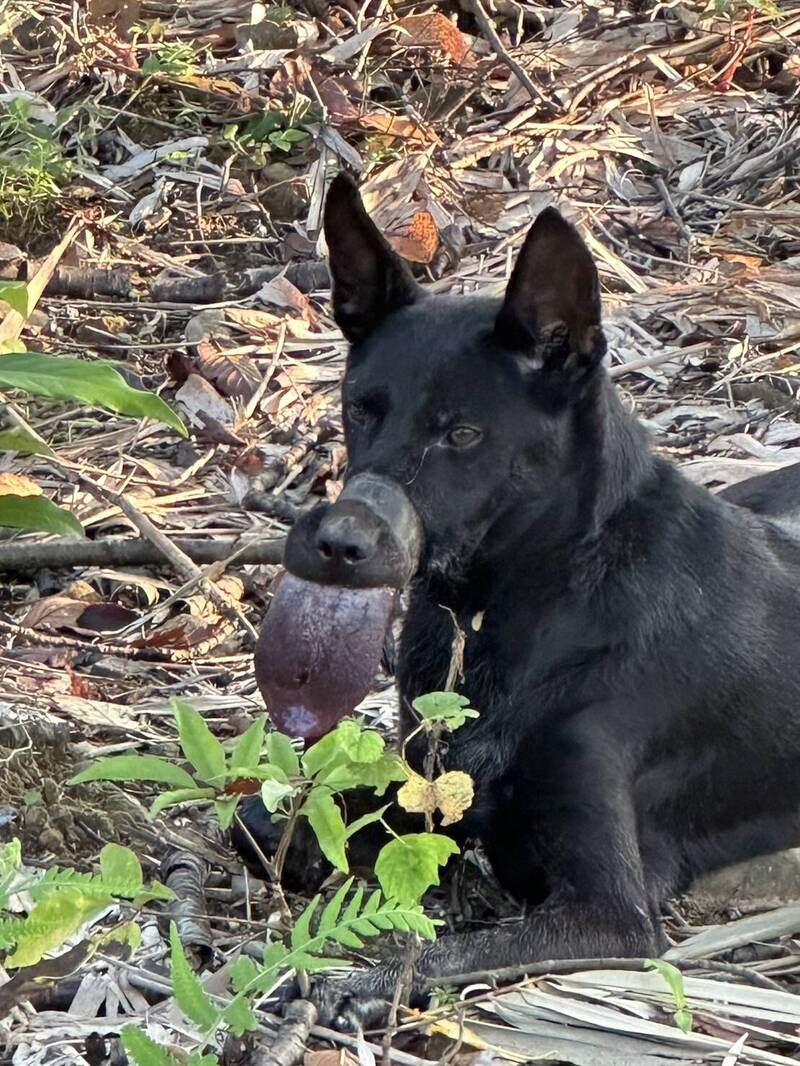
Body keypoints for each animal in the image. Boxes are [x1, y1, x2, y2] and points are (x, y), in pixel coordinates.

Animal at [236, 172, 800, 1023]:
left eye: (462, 434)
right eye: (361, 407)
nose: (333, 544)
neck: (520, 606)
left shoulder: (610, 914)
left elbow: (445, 948)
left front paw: (363, 981)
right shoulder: (428, 785)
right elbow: (266, 817)